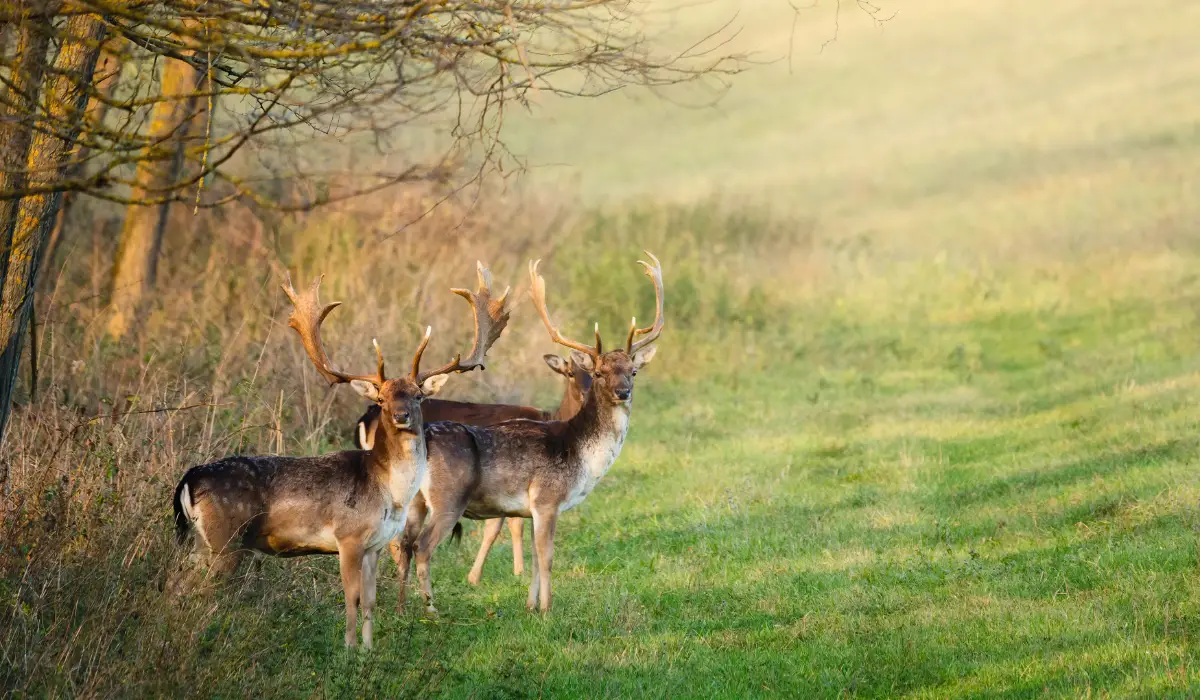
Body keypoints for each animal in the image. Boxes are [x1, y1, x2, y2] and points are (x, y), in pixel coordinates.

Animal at [171, 264, 508, 653]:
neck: (388, 492)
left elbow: (371, 600)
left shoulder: (375, 545)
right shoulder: (348, 536)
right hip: (224, 539)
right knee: (197, 590)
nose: (401, 416)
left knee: (176, 584)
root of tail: (189, 478)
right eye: (381, 399)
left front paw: (369, 649)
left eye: (418, 395)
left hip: (201, 542)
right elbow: (352, 598)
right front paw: (348, 649)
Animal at [357, 353, 597, 583]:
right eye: (570, 373)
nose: (587, 395)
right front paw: (512, 573)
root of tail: (366, 418)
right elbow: (507, 525)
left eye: (594, 373)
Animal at [391, 250, 662, 614]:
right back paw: (430, 609)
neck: (583, 457)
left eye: (633, 371)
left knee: (404, 543)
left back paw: (401, 608)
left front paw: (531, 605)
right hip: (448, 499)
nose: (623, 392)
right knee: (421, 546)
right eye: (600, 373)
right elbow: (546, 557)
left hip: (416, 501)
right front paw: (547, 609)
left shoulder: (530, 508)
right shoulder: (547, 498)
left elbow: (534, 556)